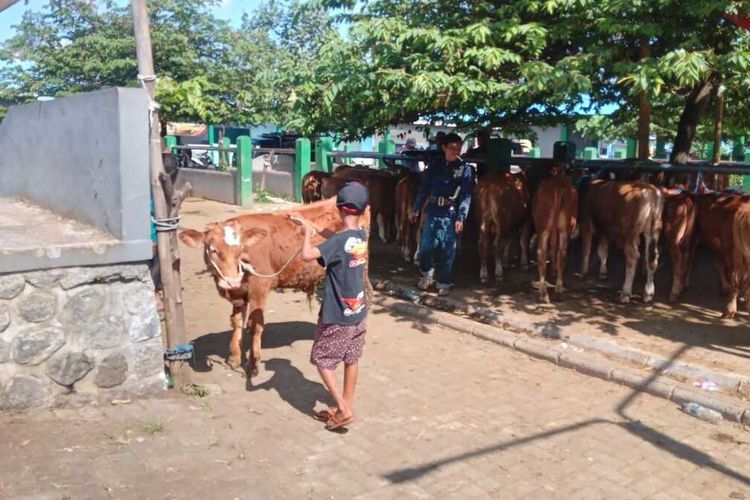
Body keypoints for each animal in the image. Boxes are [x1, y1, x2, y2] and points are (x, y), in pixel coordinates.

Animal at [180, 198, 374, 376]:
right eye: (212, 249)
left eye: (240, 249)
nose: (231, 281)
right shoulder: (239, 293)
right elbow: (236, 322)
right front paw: (234, 358)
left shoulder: (259, 287)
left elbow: (255, 325)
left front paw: (253, 365)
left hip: (361, 267)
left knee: (367, 294)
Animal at [532, 174, 580, 302]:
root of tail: (557, 185)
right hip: (564, 228)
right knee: (561, 253)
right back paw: (557, 291)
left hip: (544, 227)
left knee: (543, 252)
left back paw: (544, 294)